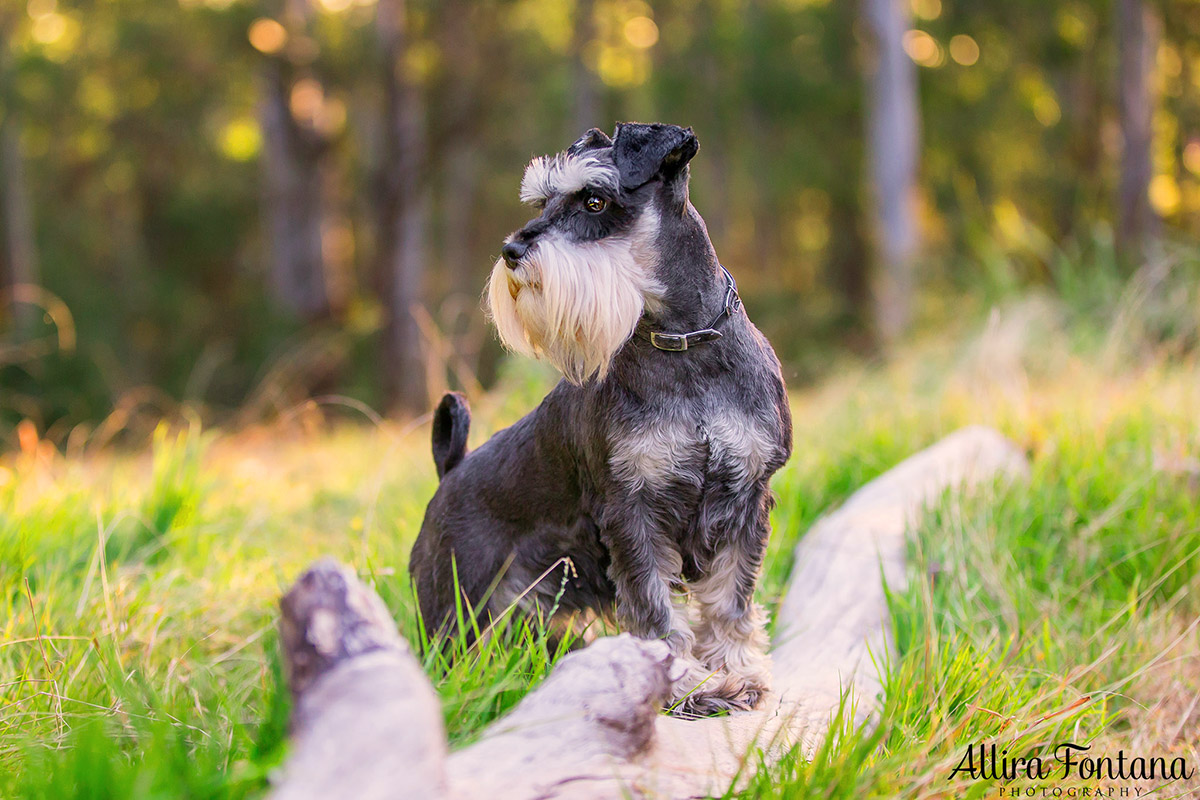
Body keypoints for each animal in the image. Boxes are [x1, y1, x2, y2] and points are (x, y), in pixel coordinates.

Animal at [408, 123, 792, 714]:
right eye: (543, 202)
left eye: (595, 201)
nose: (511, 250)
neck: (683, 345)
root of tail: (449, 473)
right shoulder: (633, 511)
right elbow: (657, 611)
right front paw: (688, 685)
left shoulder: (745, 499)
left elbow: (731, 600)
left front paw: (737, 671)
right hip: (457, 610)